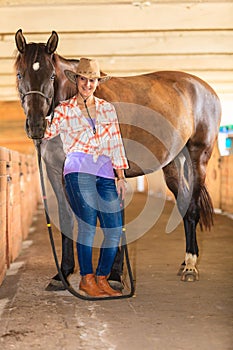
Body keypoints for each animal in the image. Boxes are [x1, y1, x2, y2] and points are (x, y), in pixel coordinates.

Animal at [15, 29, 222, 288]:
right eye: (20, 74)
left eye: (52, 75)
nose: (36, 126)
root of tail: (206, 89)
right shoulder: (56, 171)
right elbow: (67, 216)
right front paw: (63, 273)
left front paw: (113, 276)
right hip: (173, 163)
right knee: (184, 201)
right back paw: (185, 262)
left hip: (198, 158)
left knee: (192, 207)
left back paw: (191, 265)